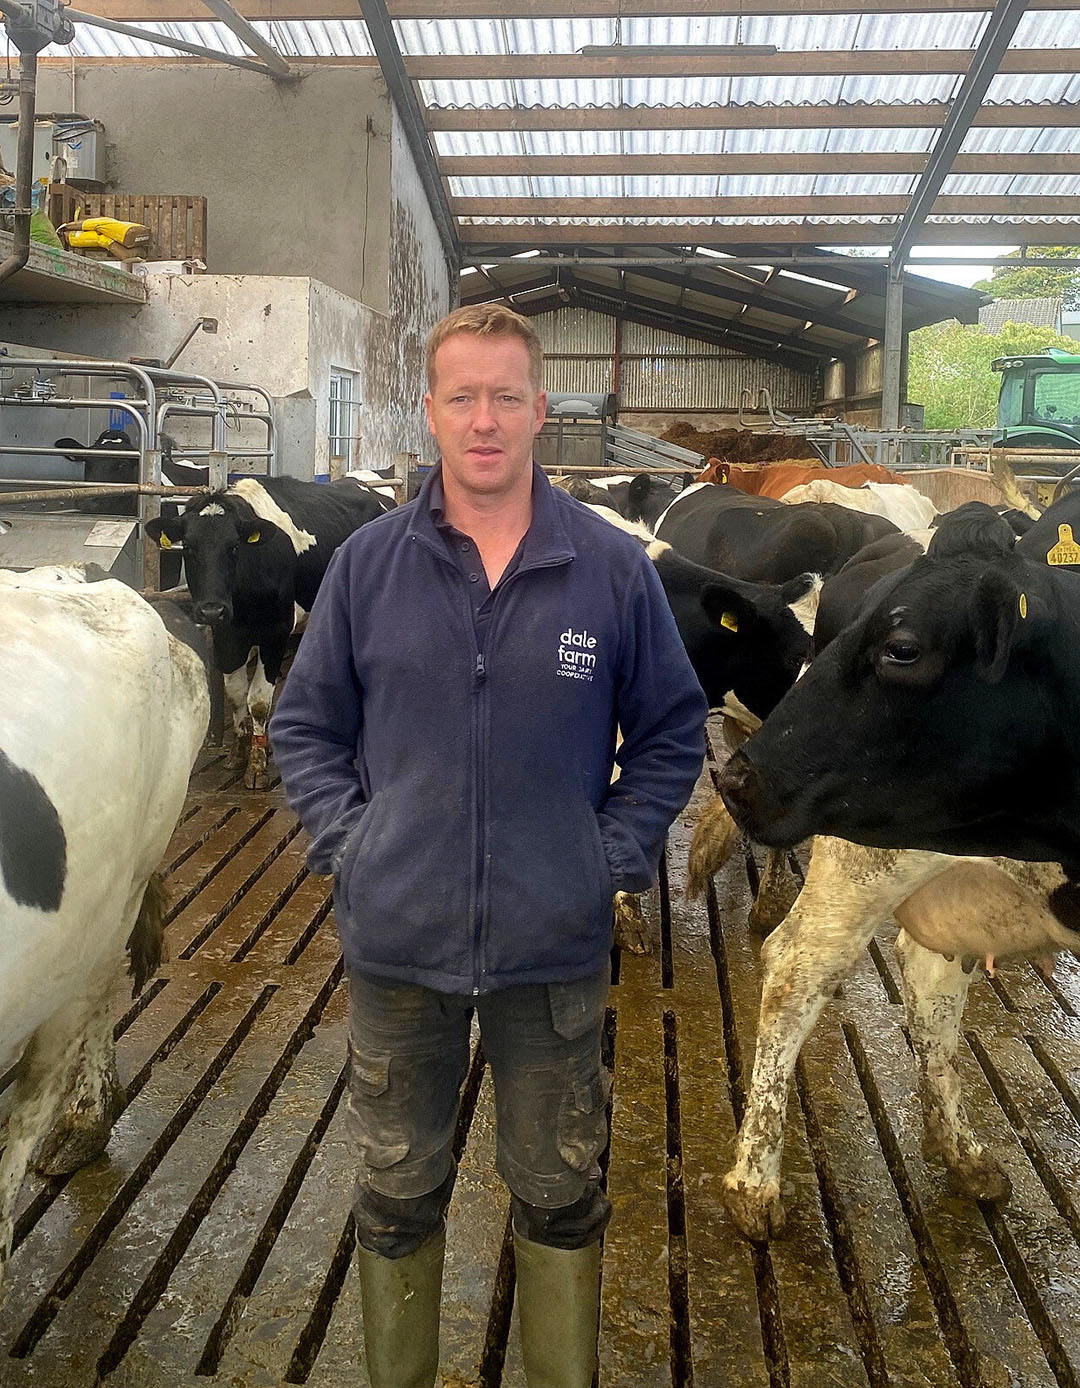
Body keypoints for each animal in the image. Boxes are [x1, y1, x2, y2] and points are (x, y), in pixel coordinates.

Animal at [145, 474, 388, 788]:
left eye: (234, 547)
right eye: (188, 547)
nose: (211, 610)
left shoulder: (276, 632)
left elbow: (258, 700)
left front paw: (257, 764)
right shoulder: (227, 635)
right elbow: (236, 693)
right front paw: (238, 752)